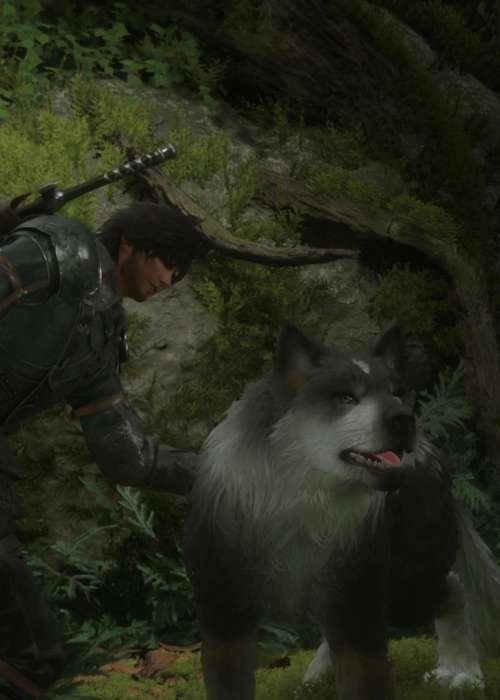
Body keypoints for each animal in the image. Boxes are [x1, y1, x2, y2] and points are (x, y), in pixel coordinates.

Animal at [184, 323, 500, 700]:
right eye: (346, 398)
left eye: (396, 393)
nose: (405, 419)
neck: (300, 502)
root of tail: (430, 449)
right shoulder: (225, 613)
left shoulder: (356, 598)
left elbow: (363, 677)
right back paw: (317, 675)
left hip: (405, 585)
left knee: (453, 588)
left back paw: (461, 672)